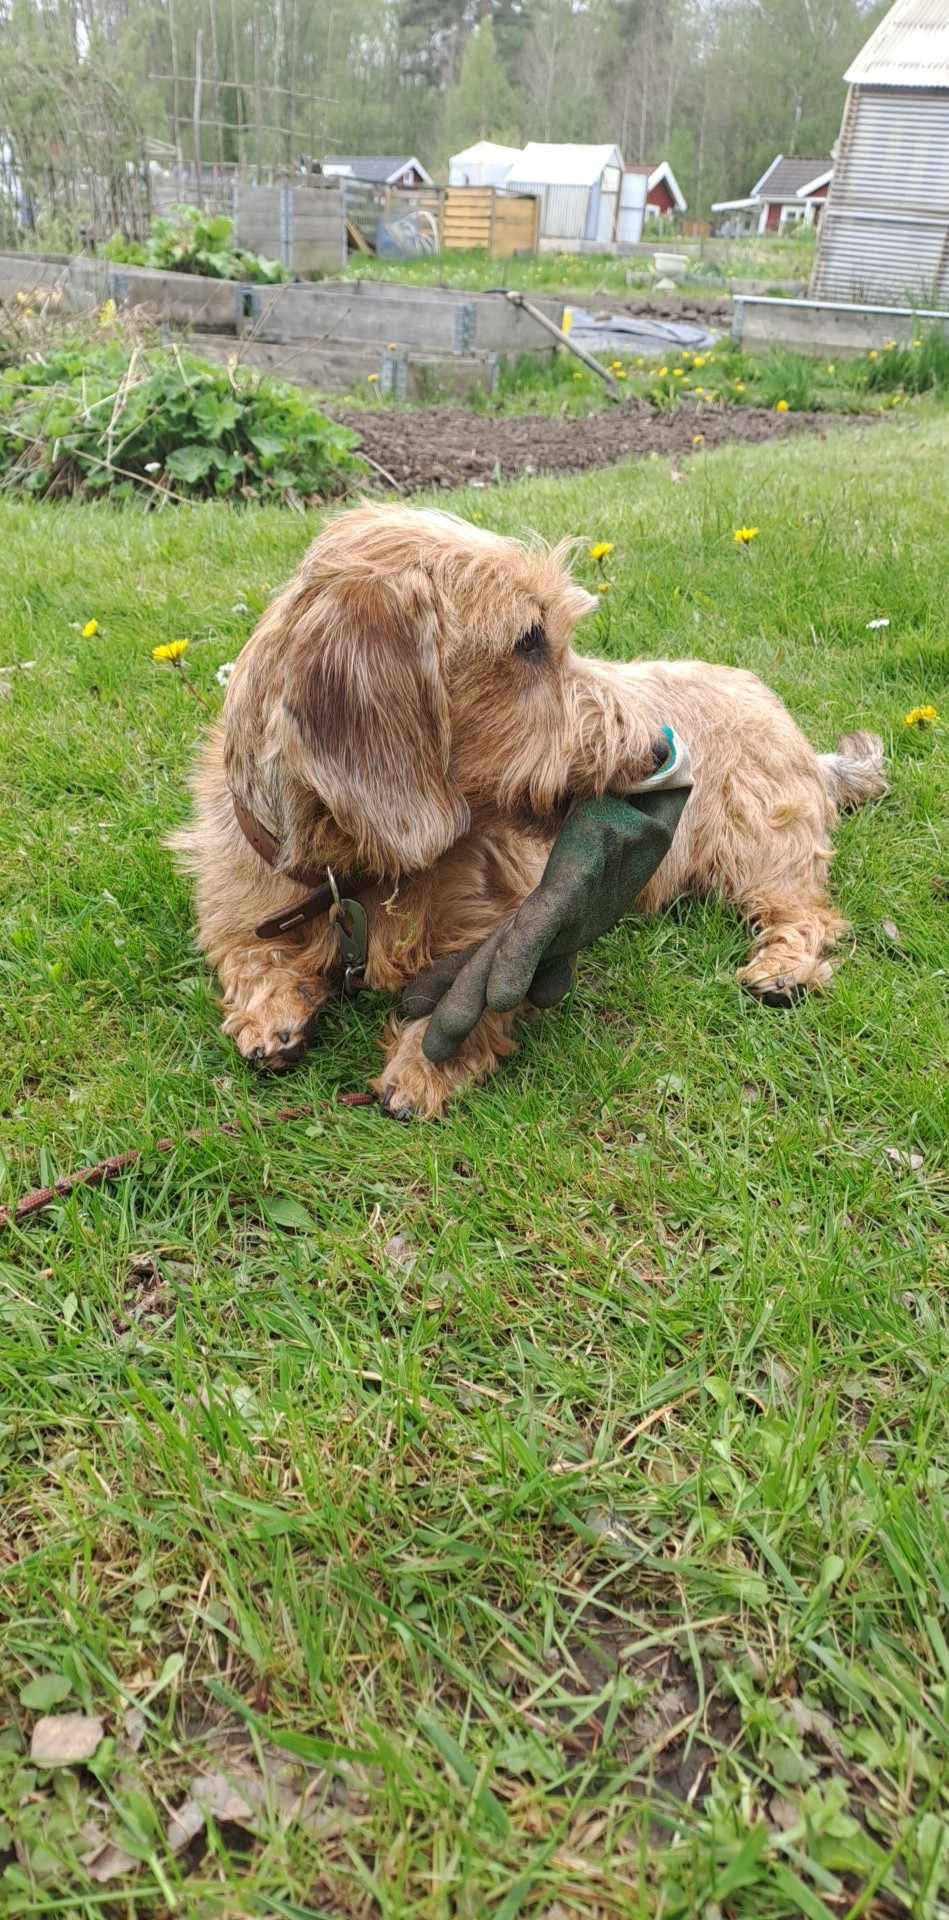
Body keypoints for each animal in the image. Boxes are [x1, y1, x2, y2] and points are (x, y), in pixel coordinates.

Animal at [170, 503, 885, 1118]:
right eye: (530, 640)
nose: (660, 748)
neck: (365, 872)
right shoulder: (241, 908)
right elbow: (250, 955)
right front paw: (271, 1012)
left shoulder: (497, 926)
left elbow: (474, 997)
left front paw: (422, 1066)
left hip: (761, 840)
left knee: (808, 913)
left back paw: (782, 969)